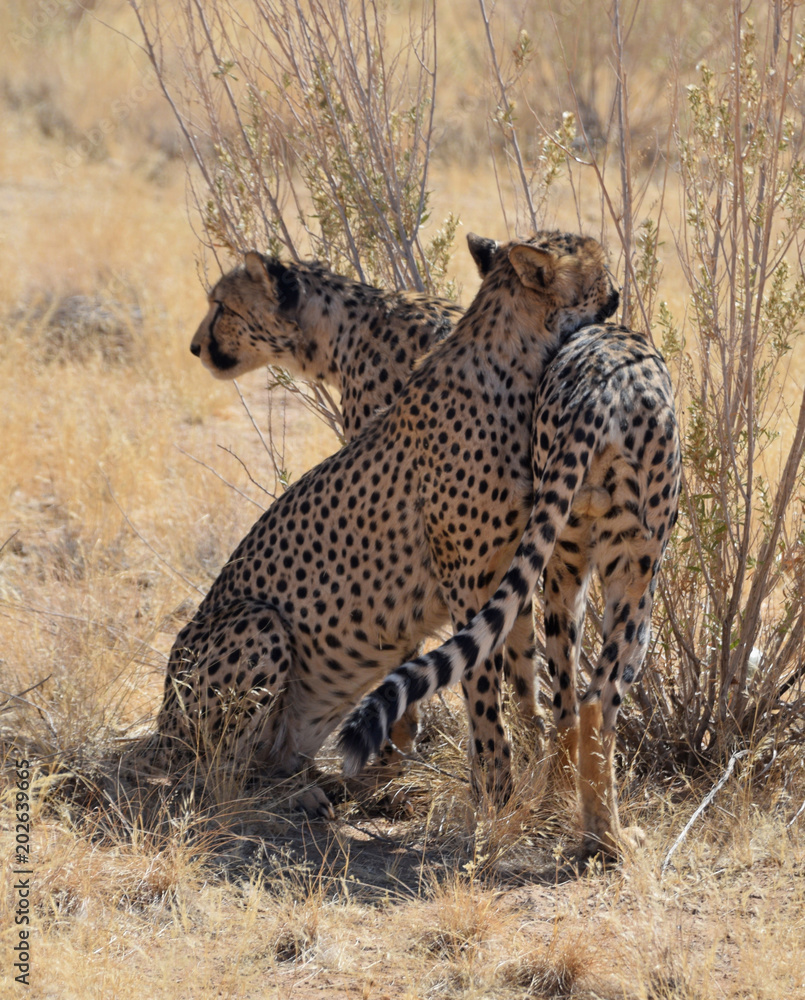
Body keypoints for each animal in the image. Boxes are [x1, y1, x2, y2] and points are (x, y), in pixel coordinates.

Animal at [159, 232, 620, 812]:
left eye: (222, 305)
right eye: (600, 274)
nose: (195, 347)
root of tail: (160, 732)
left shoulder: (510, 568)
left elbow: (519, 673)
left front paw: (529, 766)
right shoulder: (465, 578)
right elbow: (479, 684)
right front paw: (493, 787)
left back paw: (320, 784)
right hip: (255, 623)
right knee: (218, 776)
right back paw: (293, 797)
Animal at [340, 322, 680, 860]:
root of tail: (599, 390)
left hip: (563, 556)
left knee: (564, 700)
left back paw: (566, 810)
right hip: (638, 572)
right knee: (595, 702)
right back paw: (610, 840)